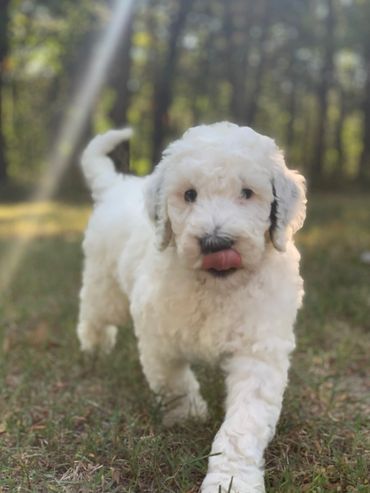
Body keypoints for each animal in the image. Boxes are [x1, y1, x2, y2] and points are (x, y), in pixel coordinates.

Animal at [77, 122, 306, 492]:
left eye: (247, 193)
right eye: (189, 195)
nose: (216, 243)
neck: (217, 286)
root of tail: (117, 186)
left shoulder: (258, 351)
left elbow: (243, 424)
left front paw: (231, 480)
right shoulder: (158, 336)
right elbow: (174, 381)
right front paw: (189, 415)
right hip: (105, 285)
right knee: (94, 311)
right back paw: (95, 349)